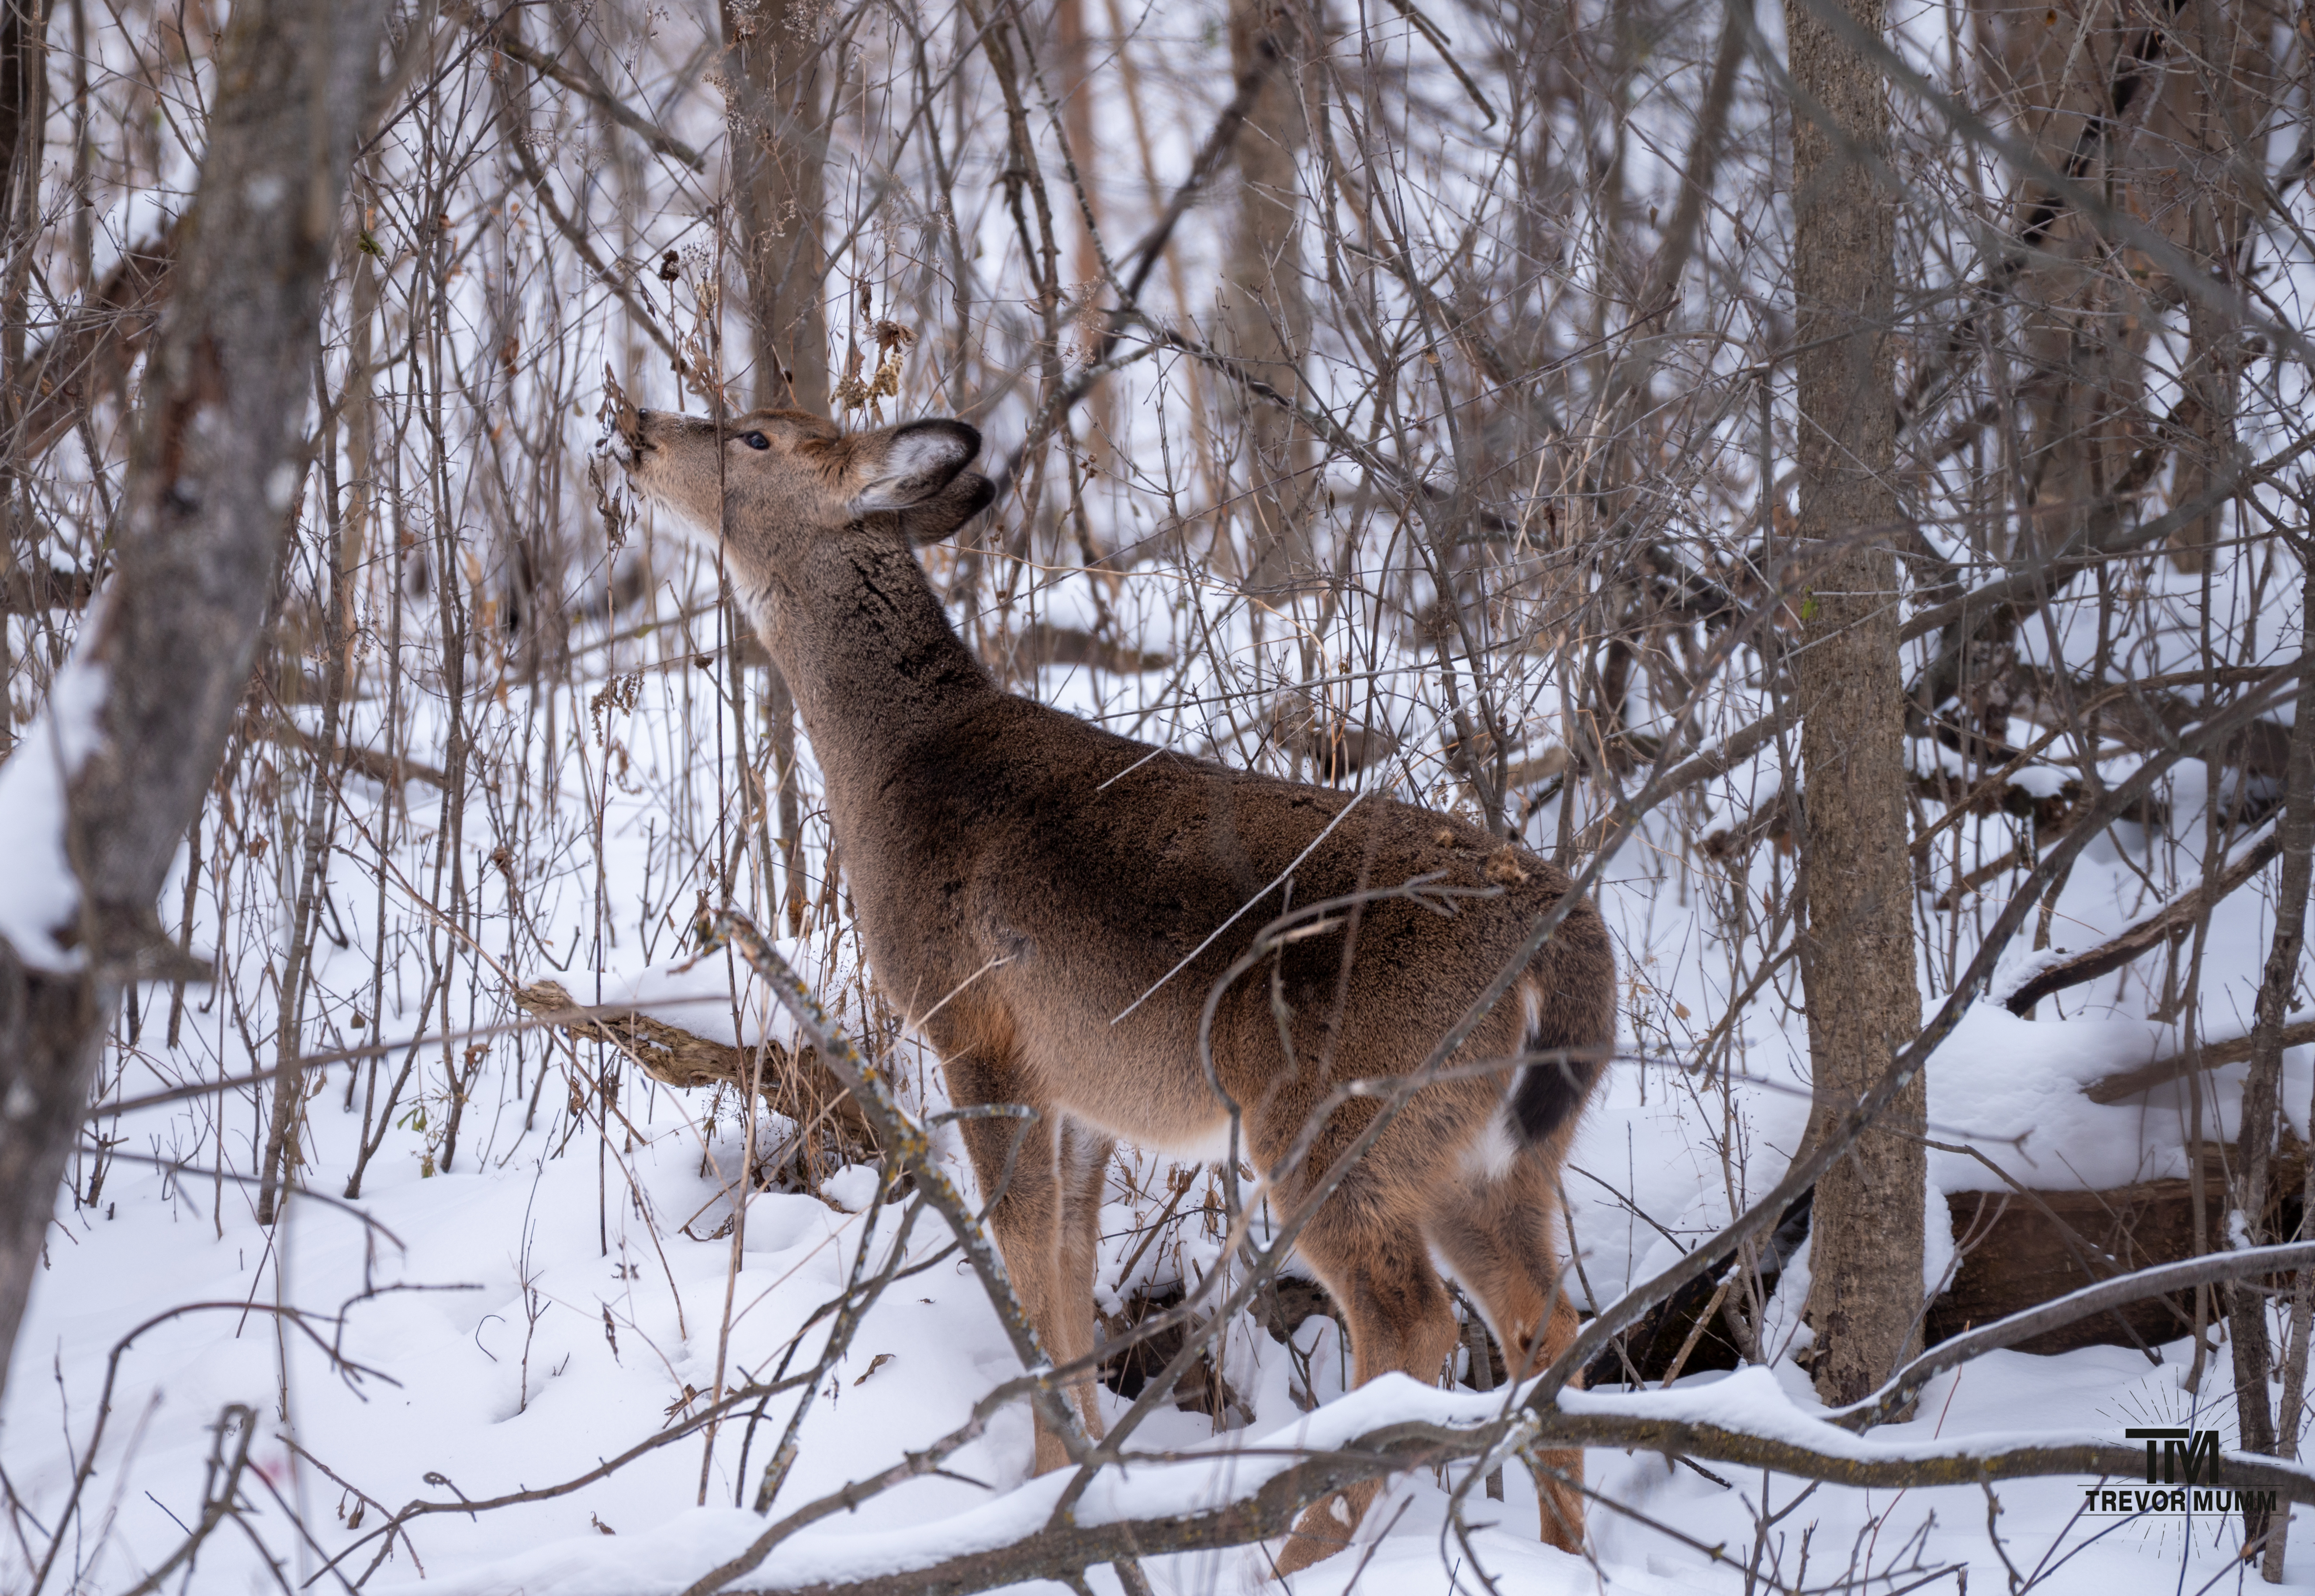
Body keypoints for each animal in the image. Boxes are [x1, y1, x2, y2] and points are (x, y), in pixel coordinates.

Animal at [599, 397, 1616, 1571]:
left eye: (757, 436)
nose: (636, 423)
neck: (892, 766)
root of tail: (1561, 937)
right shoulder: (1081, 1080)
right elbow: (1072, 1266)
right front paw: (1078, 1480)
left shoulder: (974, 1020)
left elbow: (1019, 1249)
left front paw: (1047, 1492)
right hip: (1490, 1151)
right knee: (1547, 1320)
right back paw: (1562, 1551)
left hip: (1334, 1109)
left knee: (1412, 1323)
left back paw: (1288, 1548)